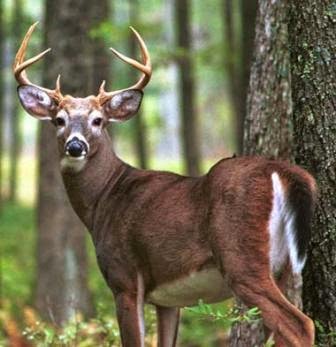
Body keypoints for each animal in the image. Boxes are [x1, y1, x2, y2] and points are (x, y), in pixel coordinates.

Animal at [14, 23, 316, 346]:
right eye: (59, 120)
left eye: (98, 120)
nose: (75, 146)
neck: (104, 199)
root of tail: (281, 170)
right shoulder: (168, 300)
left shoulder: (124, 277)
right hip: (282, 267)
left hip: (241, 257)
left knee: (299, 324)